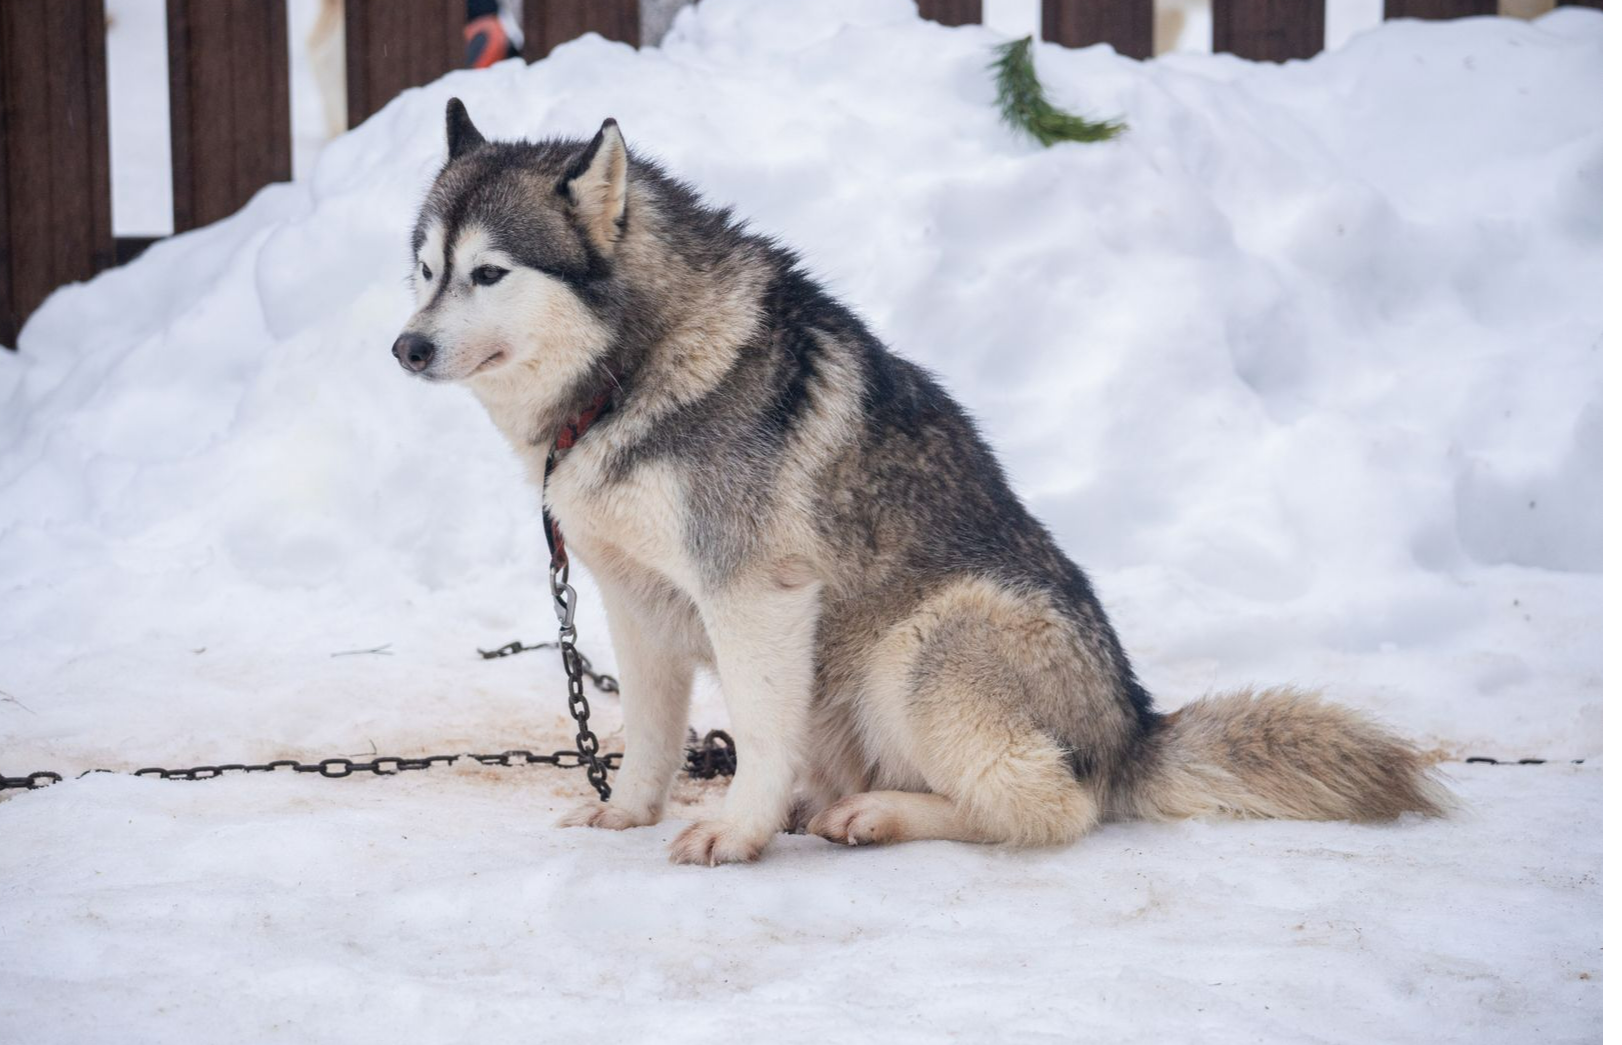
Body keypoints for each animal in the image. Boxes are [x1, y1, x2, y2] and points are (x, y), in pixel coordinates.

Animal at [392, 98, 1446, 863]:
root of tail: (1133, 732)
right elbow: (649, 735)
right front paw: (628, 814)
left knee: (1047, 806)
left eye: (490, 273)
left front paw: (736, 831)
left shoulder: (757, 597)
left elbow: (759, 738)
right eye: (425, 268)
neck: (630, 372)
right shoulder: (636, 600)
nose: (406, 347)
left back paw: (878, 814)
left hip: (924, 646)